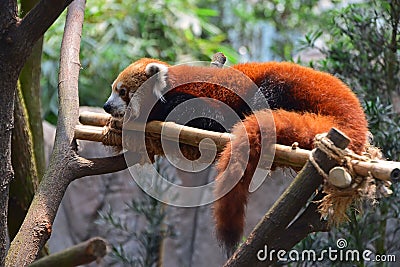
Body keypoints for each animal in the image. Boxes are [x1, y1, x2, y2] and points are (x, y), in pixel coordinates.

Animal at [104, 58, 368, 253]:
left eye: (123, 91)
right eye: (113, 89)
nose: (106, 106)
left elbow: (206, 118)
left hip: (287, 84)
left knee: (266, 97)